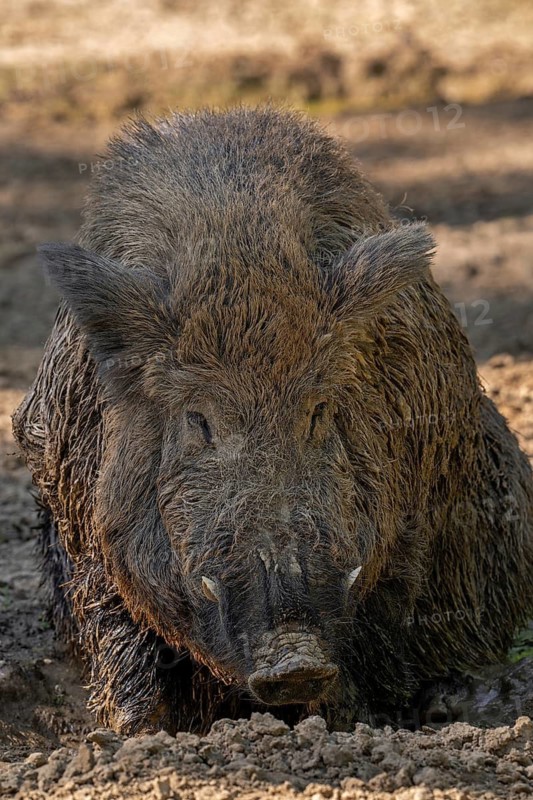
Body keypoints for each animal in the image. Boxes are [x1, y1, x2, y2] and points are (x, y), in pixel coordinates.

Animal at [13, 107, 533, 733]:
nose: (294, 659)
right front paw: (137, 732)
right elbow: (122, 633)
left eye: (319, 411)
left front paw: (349, 721)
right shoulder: (79, 513)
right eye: (198, 420)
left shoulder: (409, 523)